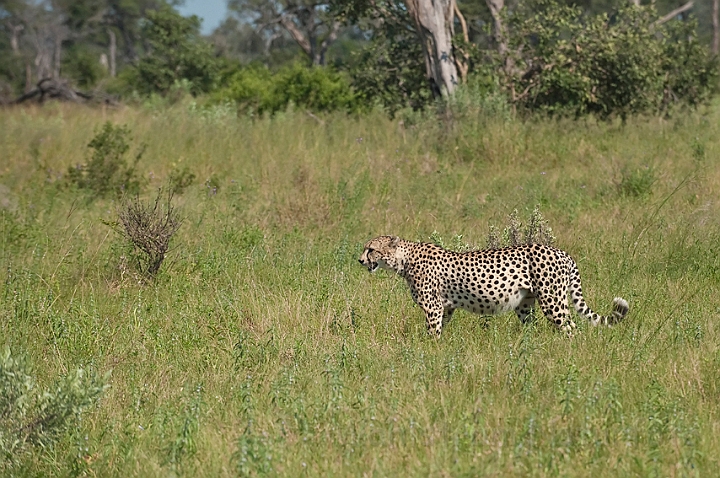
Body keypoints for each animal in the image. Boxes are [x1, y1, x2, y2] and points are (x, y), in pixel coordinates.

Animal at [358, 235, 628, 336]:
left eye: (371, 249)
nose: (360, 260)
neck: (404, 259)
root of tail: (562, 252)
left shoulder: (433, 307)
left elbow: (432, 331)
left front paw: (428, 351)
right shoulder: (446, 307)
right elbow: (441, 327)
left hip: (552, 300)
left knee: (570, 327)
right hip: (526, 303)